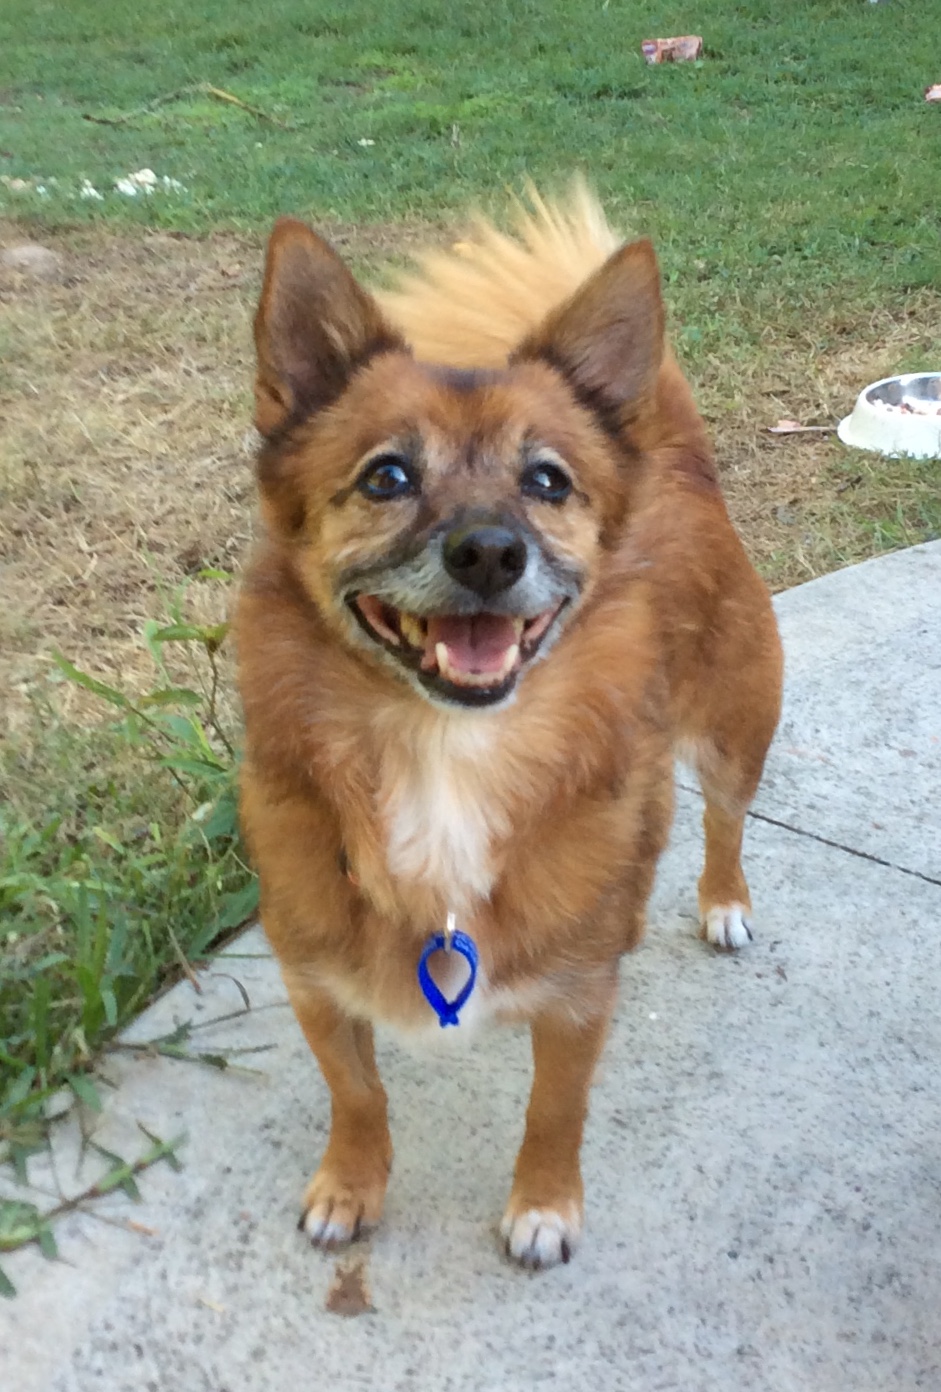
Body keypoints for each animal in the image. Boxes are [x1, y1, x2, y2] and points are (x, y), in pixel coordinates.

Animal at [236, 182, 783, 1269]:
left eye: (547, 482)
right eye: (385, 477)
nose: (489, 552)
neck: (442, 754)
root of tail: (676, 460)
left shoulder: (575, 999)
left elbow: (553, 1111)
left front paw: (542, 1208)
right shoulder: (315, 980)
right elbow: (356, 1094)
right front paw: (349, 1187)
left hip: (733, 732)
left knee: (722, 819)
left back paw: (721, 902)